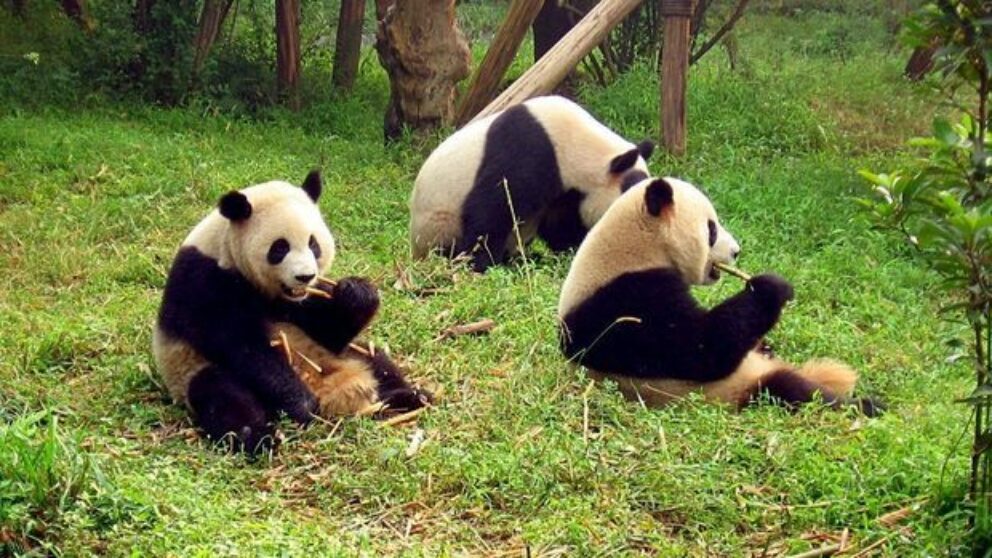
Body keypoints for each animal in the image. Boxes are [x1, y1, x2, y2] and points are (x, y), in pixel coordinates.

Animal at [153, 171, 431, 454]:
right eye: (280, 248)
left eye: (313, 244)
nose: (305, 276)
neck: (226, 248)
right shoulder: (203, 282)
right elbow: (242, 346)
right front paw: (300, 403)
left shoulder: (302, 301)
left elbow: (331, 330)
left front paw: (357, 293)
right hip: (191, 369)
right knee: (223, 395)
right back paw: (260, 437)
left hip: (336, 354)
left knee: (375, 359)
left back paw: (410, 396)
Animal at [409, 95, 654, 272]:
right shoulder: (527, 152)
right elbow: (492, 209)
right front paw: (479, 263)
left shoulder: (566, 190)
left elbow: (561, 223)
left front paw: (575, 250)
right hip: (438, 223)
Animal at [557, 176, 882, 415]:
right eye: (711, 229)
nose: (736, 251)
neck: (636, 247)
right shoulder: (626, 300)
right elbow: (700, 348)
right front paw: (771, 288)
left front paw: (766, 339)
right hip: (741, 387)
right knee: (791, 390)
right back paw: (865, 405)